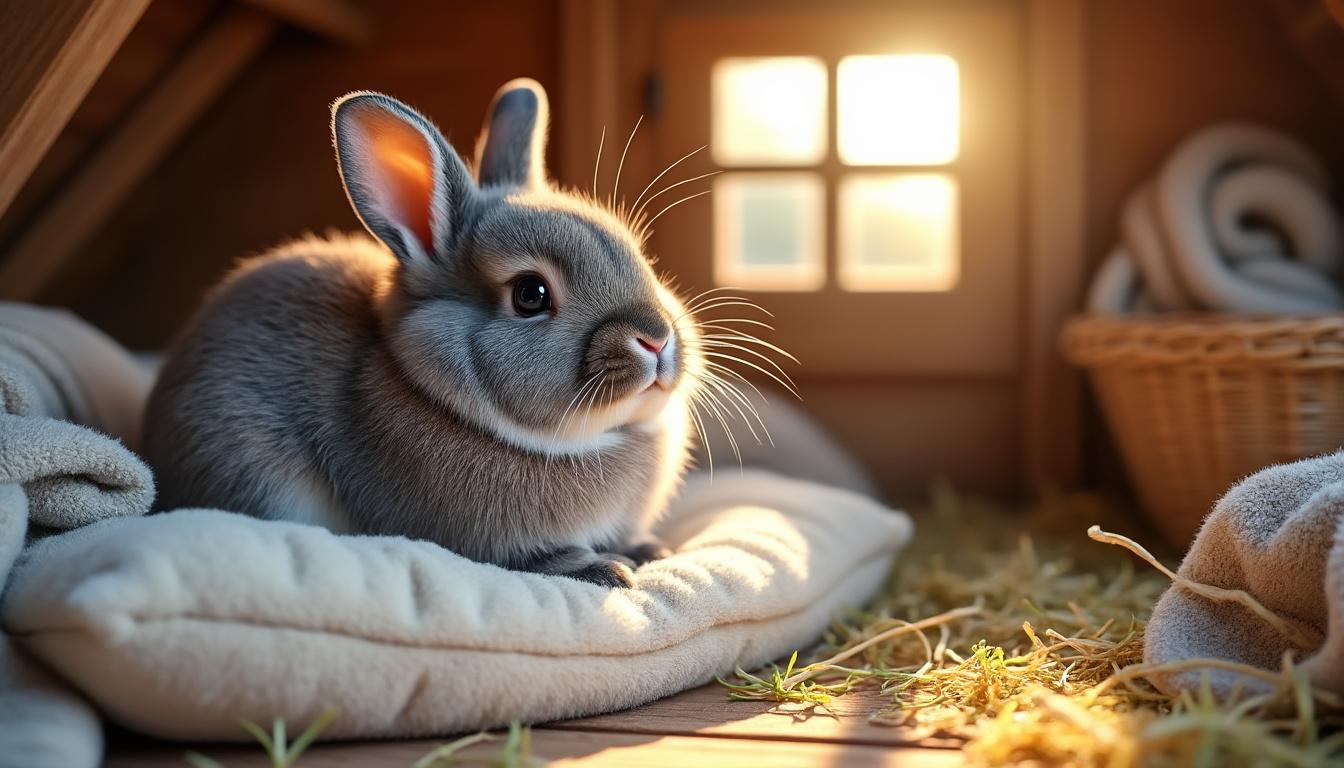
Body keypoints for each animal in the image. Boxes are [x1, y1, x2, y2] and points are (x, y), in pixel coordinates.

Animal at [141, 79, 705, 588]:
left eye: (638, 254)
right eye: (530, 294)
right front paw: (602, 568)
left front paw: (650, 549)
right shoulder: (485, 542)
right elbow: (534, 558)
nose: (656, 340)